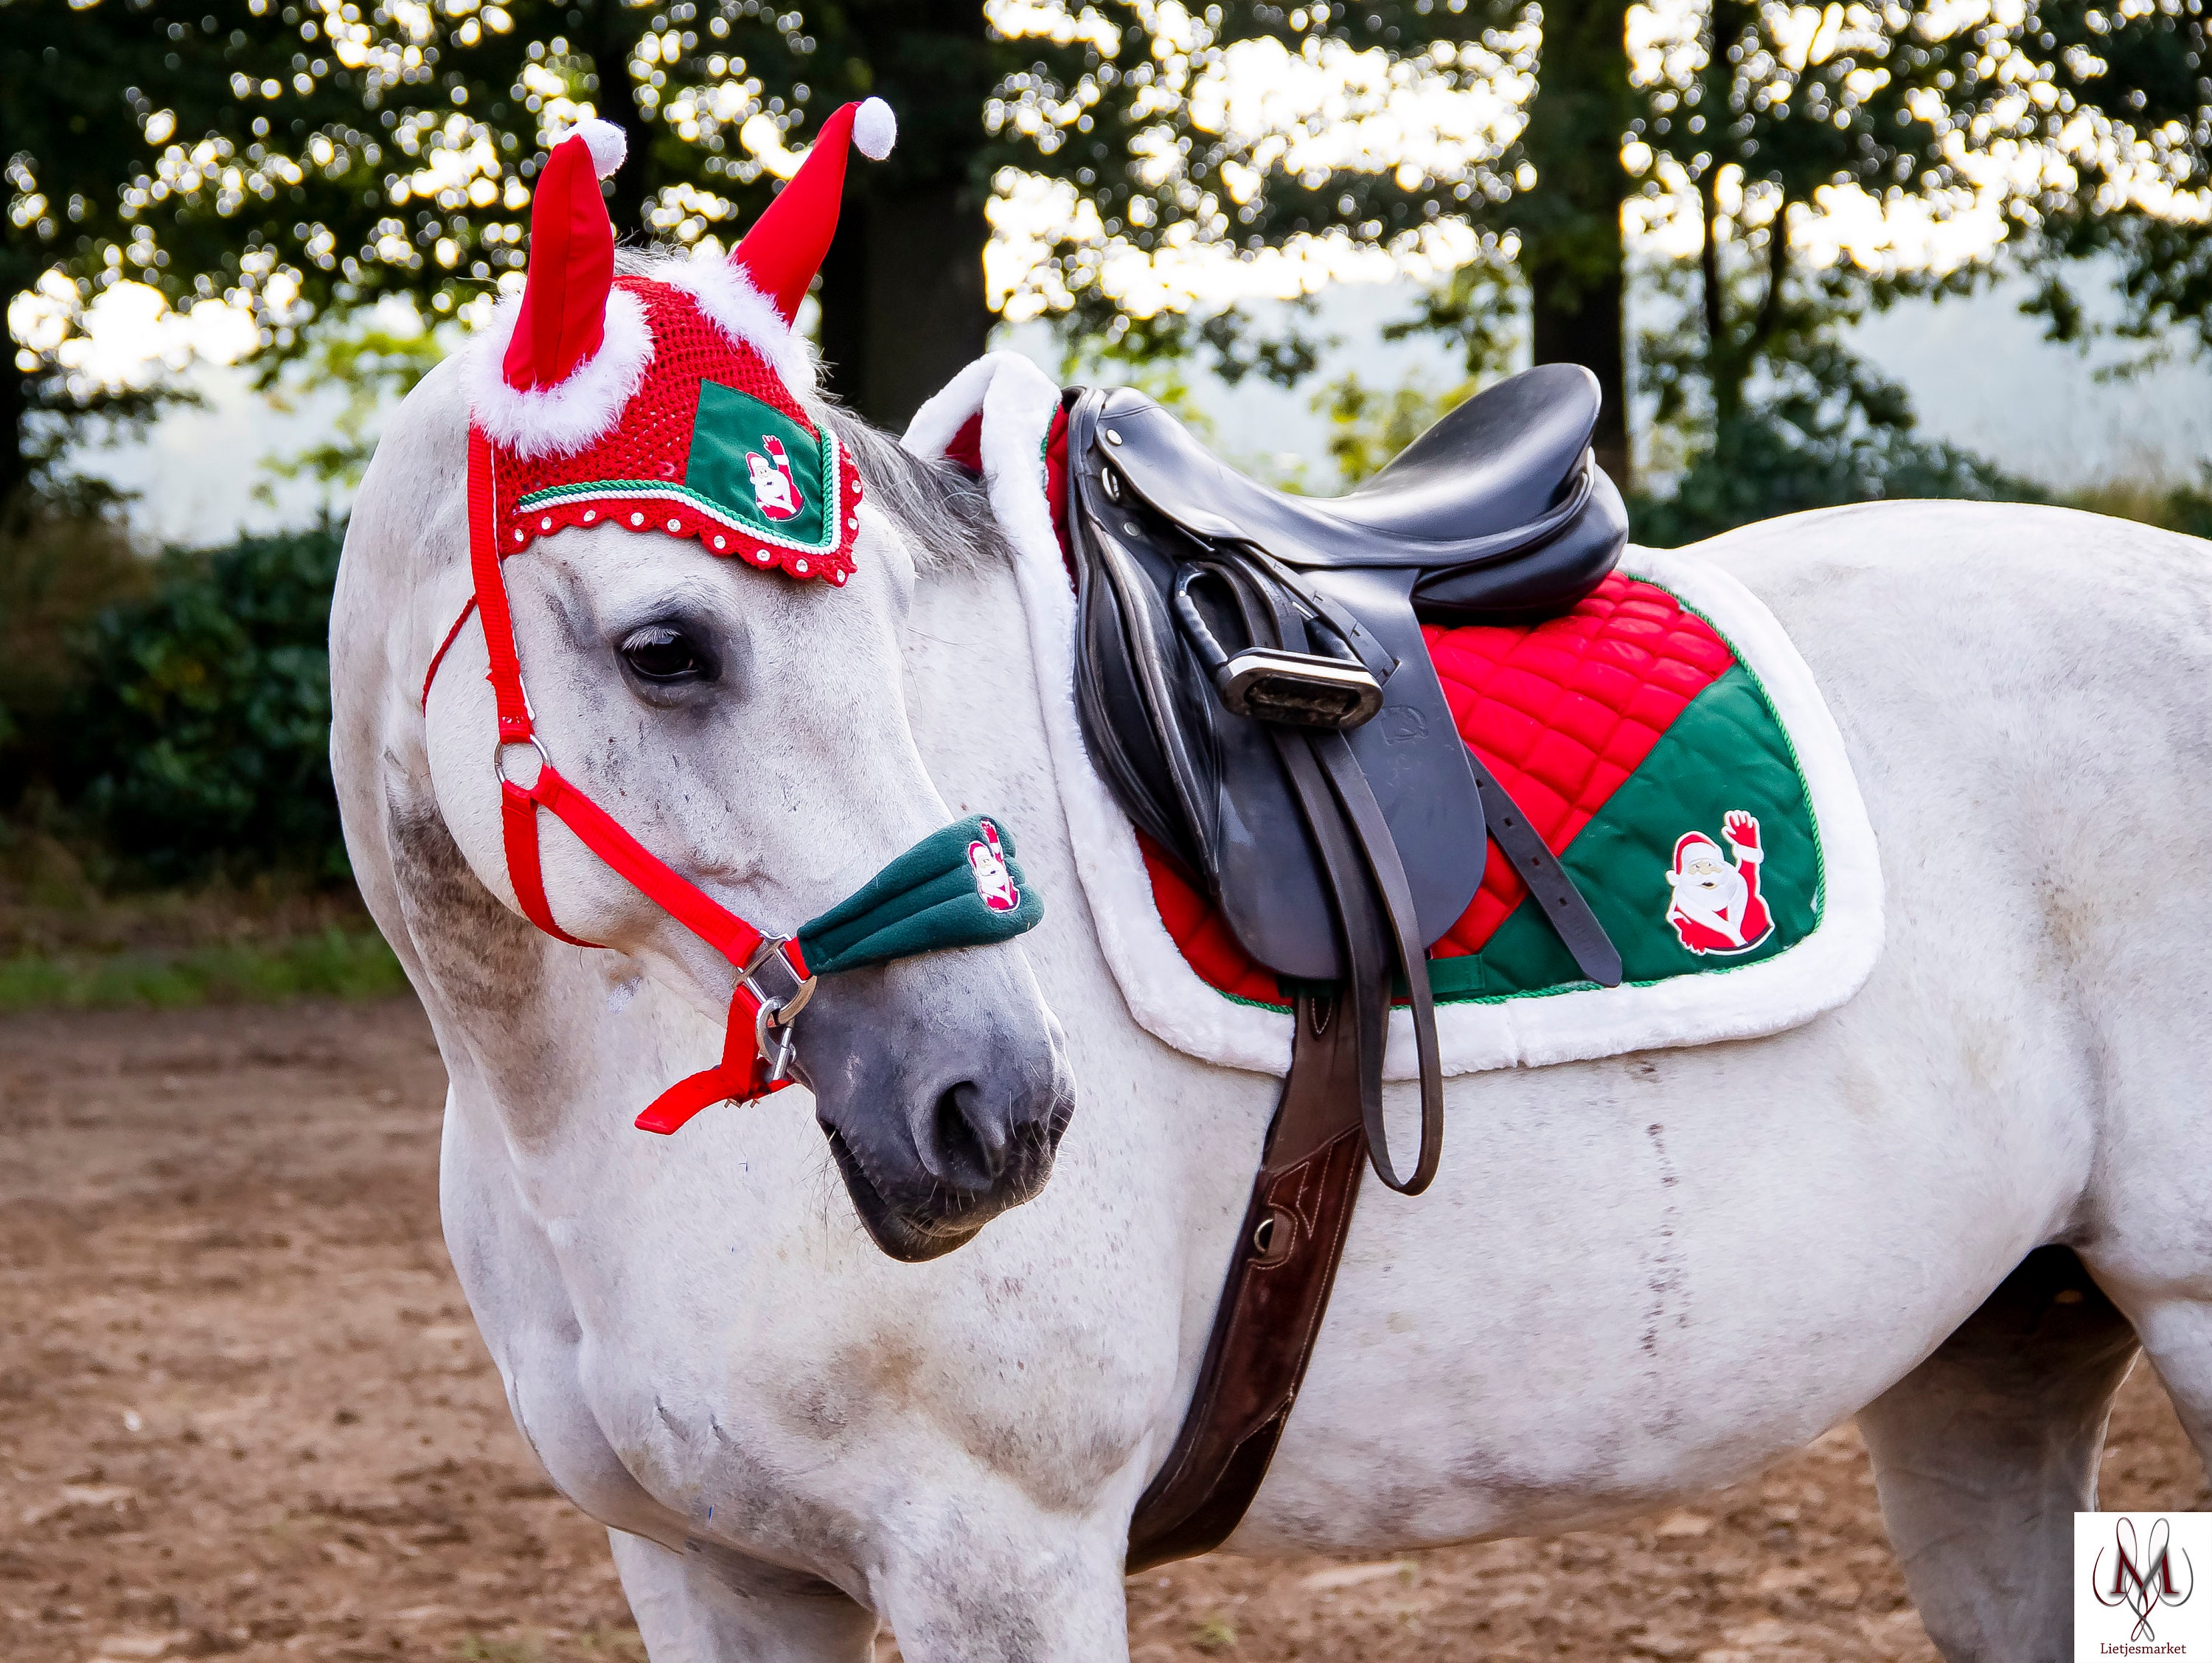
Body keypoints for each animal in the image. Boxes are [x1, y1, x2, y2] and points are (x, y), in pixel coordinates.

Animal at [332, 343, 2212, 1661]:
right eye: (666, 647)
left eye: (874, 636)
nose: (992, 1100)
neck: (579, 1109)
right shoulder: (710, 1569)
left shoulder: (1000, 1551)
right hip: (2000, 1352)